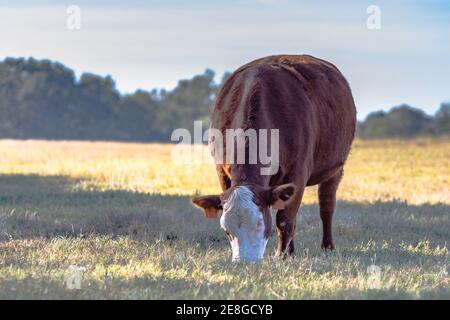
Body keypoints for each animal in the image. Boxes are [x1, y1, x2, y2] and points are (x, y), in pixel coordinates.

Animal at [190, 54, 356, 260]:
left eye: (260, 225)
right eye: (227, 231)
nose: (245, 261)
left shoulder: (298, 173)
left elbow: (284, 220)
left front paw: (281, 255)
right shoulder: (221, 170)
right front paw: (286, 252)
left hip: (335, 168)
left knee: (326, 206)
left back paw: (327, 246)